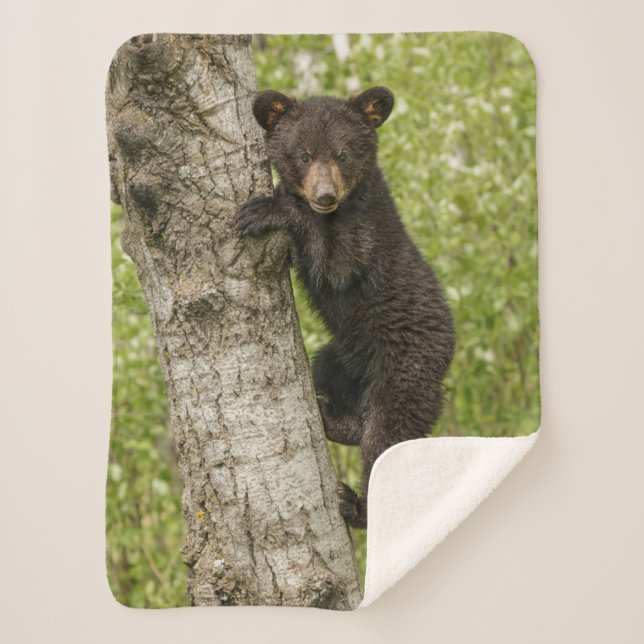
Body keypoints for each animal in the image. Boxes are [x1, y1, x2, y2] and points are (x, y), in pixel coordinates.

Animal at [237, 86, 455, 529]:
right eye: (304, 154)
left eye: (342, 154)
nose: (324, 196)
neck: (349, 201)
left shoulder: (365, 235)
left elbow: (335, 263)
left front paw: (267, 208)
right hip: (343, 356)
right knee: (332, 380)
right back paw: (331, 417)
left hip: (405, 372)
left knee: (386, 439)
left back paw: (355, 504)